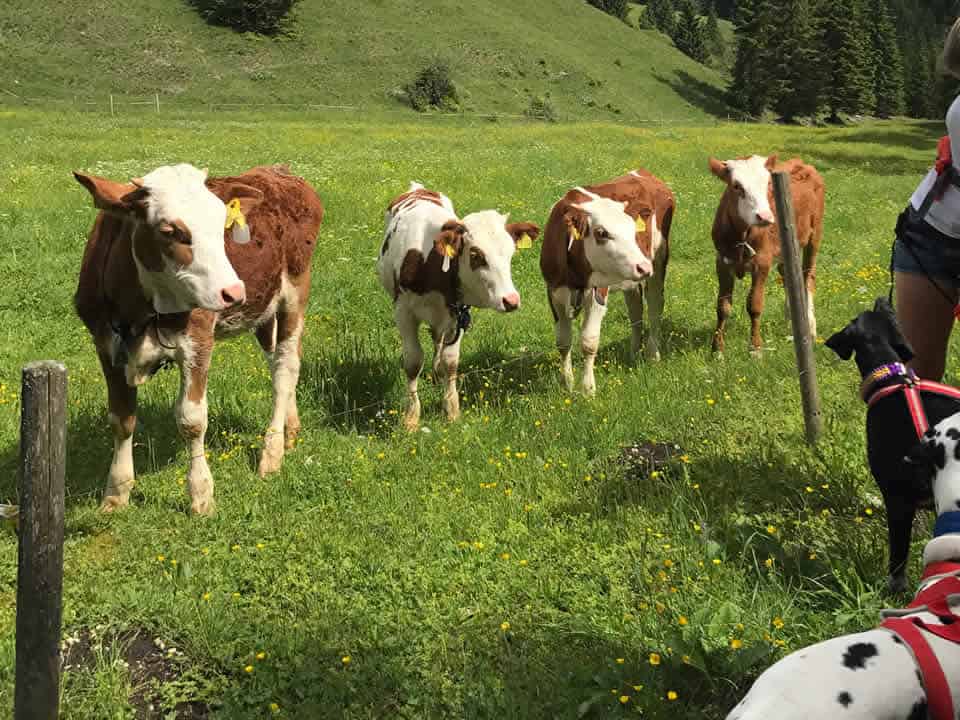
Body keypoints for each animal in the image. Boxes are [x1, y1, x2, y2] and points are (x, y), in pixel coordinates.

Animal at [72, 165, 326, 512]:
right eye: (169, 230)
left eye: (222, 226)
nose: (233, 292)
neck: (137, 308)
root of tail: (279, 171)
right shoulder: (105, 344)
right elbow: (121, 419)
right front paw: (116, 493)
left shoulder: (199, 340)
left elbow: (191, 419)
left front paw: (201, 494)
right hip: (264, 309)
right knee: (279, 361)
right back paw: (291, 427)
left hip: (295, 291)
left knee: (286, 369)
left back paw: (272, 451)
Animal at [376, 183, 540, 430]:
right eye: (476, 255)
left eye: (511, 253)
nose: (511, 300)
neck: (431, 263)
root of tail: (418, 188)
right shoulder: (403, 312)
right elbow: (413, 361)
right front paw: (411, 417)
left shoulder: (460, 313)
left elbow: (450, 361)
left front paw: (451, 409)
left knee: (437, 338)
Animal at [704, 153, 824, 356]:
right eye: (736, 186)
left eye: (768, 183)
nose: (765, 217)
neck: (741, 234)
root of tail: (802, 163)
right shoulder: (722, 262)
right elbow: (722, 307)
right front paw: (717, 350)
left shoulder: (762, 262)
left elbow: (754, 305)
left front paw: (755, 348)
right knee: (788, 275)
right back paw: (791, 318)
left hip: (814, 236)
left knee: (808, 276)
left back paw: (810, 326)